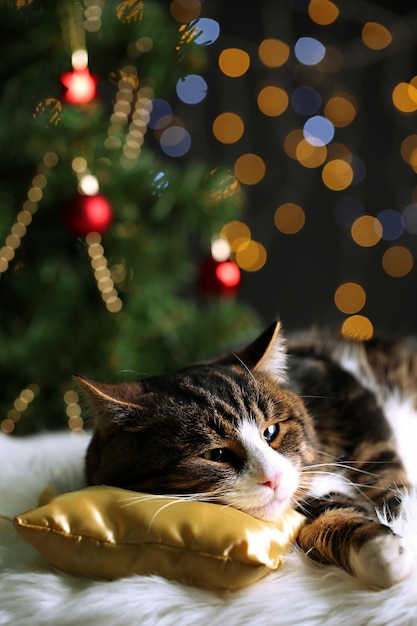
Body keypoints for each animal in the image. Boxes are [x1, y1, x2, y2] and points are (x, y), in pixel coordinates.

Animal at [76, 320, 414, 588]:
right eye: (215, 454)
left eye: (271, 431)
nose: (274, 478)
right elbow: (327, 515)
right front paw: (382, 550)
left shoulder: (354, 405)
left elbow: (384, 476)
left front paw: (401, 519)